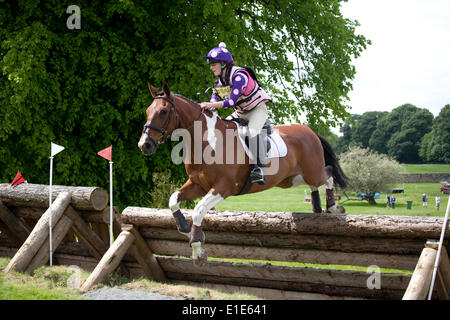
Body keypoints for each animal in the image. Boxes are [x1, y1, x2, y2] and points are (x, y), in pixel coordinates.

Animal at [137, 82, 348, 264]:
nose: (144, 145)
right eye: (147, 111)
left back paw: (333, 206)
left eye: (163, 111)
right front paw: (186, 229)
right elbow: (173, 199)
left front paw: (197, 248)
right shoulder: (198, 185)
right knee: (313, 184)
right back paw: (317, 206)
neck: (207, 142)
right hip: (291, 179)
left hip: (312, 171)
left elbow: (198, 210)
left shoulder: (224, 187)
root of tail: (309, 131)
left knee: (328, 174)